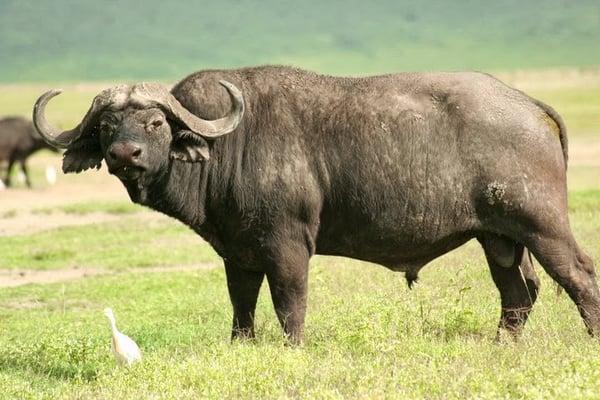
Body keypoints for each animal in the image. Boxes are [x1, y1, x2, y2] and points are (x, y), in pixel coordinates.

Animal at [31, 66, 600, 344]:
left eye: (154, 123)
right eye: (108, 125)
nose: (124, 154)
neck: (228, 148)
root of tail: (528, 104)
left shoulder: (288, 247)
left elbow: (290, 305)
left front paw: (292, 349)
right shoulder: (238, 254)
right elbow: (242, 306)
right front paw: (242, 347)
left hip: (542, 227)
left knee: (579, 276)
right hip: (498, 238)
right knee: (518, 293)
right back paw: (500, 345)